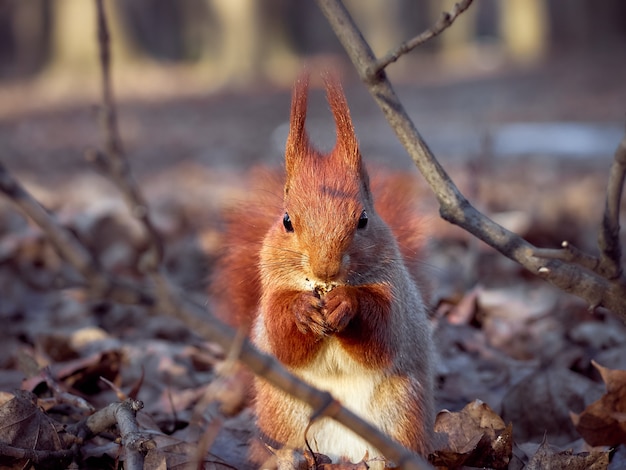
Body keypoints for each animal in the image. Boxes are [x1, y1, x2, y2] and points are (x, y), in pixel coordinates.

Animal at [212, 73, 432, 466]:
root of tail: (344, 455)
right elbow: (282, 339)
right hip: (281, 418)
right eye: (287, 220)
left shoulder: (396, 294)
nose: (325, 269)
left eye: (363, 220)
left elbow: (383, 333)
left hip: (402, 413)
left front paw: (347, 303)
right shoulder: (272, 293)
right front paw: (302, 310)